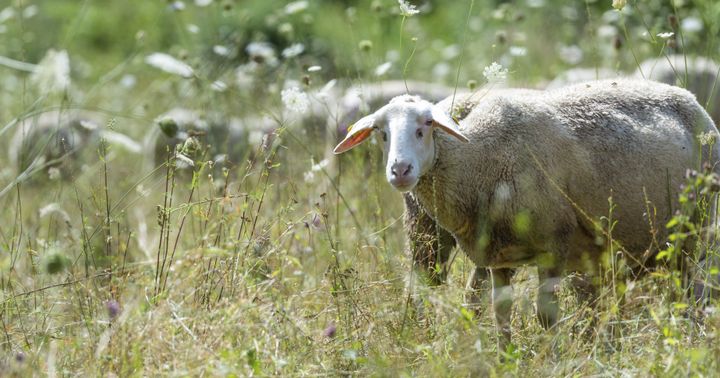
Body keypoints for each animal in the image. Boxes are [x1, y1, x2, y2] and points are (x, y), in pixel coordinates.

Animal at [336, 79, 720, 348]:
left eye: (426, 125)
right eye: (381, 133)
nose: (400, 170)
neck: (479, 158)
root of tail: (688, 97)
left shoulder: (554, 246)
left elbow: (545, 316)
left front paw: (552, 357)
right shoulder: (498, 258)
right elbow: (500, 314)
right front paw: (505, 357)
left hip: (695, 231)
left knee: (694, 294)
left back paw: (690, 338)